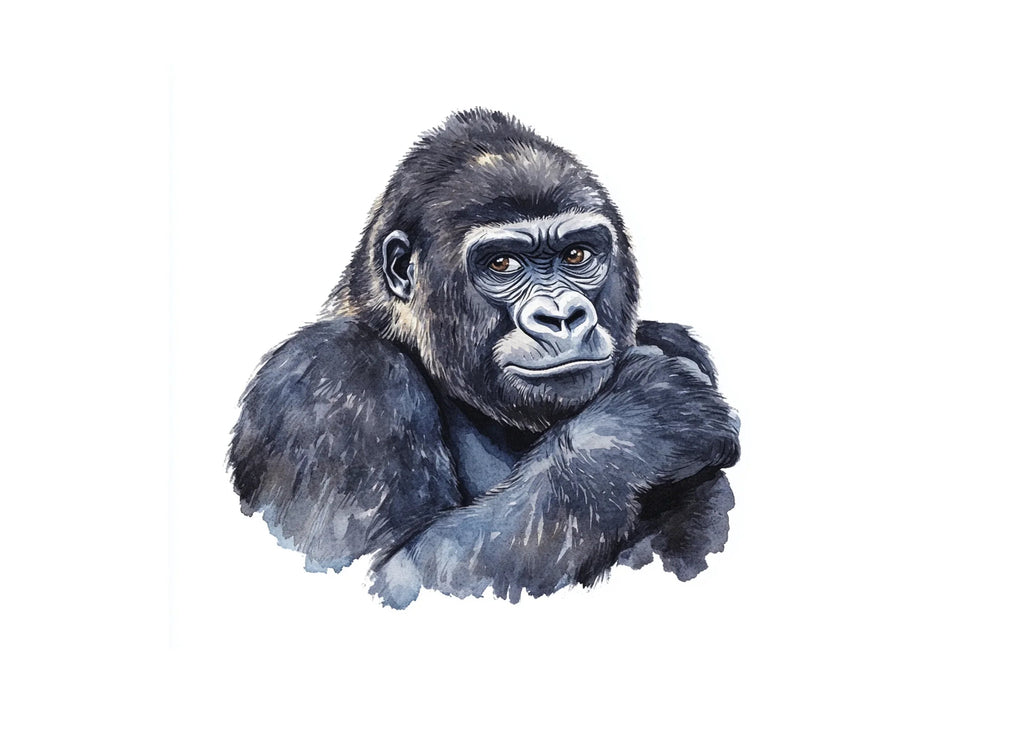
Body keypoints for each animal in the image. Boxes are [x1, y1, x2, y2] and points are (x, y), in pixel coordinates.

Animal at [229, 109, 740, 608]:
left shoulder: (679, 342)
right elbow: (387, 569)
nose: (561, 317)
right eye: (502, 264)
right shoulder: (334, 378)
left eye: (577, 254)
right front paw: (633, 427)